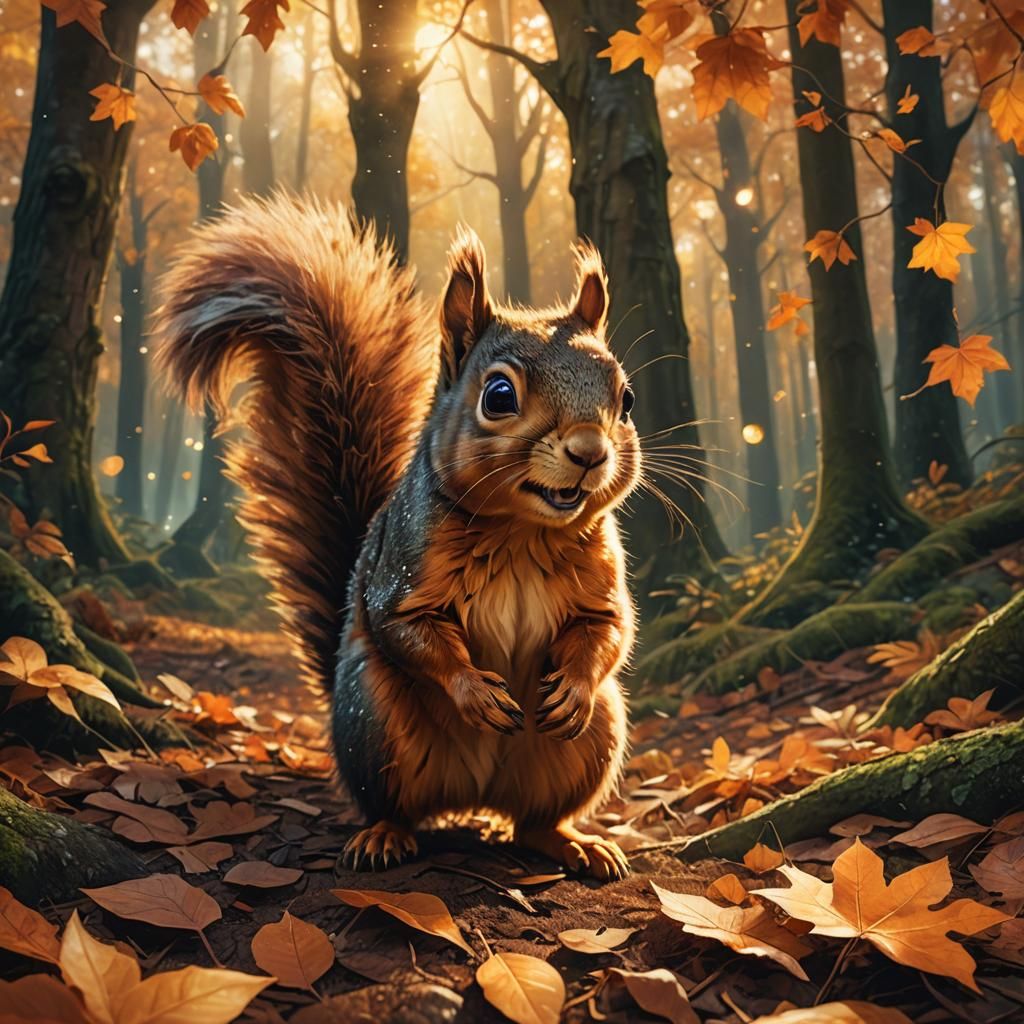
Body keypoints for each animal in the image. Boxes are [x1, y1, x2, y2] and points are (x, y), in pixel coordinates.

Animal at [155, 195, 641, 880]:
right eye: (499, 396)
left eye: (626, 399)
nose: (590, 452)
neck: (523, 532)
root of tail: (472, 796)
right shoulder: (405, 570)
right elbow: (407, 630)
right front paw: (473, 691)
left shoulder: (601, 578)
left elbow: (608, 630)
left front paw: (572, 688)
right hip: (374, 720)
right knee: (394, 805)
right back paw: (383, 836)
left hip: (593, 739)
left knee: (532, 821)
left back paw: (574, 841)